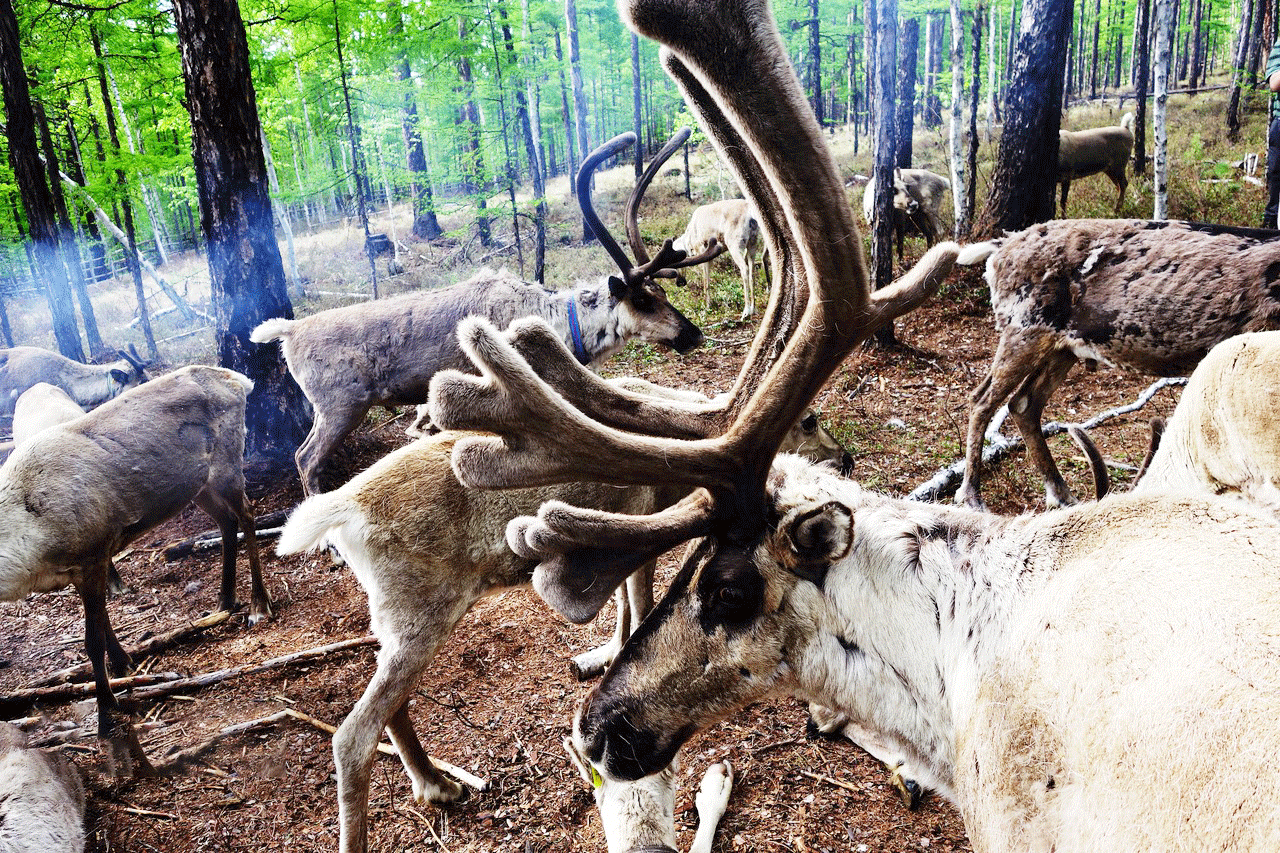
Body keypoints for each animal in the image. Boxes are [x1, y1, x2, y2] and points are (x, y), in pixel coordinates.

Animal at [0, 365, 271, 775]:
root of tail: (237, 380)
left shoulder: (93, 552)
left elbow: (91, 642)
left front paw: (107, 717)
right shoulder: (82, 567)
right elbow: (102, 625)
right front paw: (125, 662)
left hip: (227, 463)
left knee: (248, 515)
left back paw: (258, 604)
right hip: (198, 483)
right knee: (226, 522)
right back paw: (224, 600)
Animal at [250, 130, 711, 497]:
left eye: (663, 291)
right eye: (644, 301)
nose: (694, 334)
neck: (562, 324)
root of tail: (289, 331)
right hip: (341, 405)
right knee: (305, 457)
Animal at [953, 218, 1280, 510]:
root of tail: (998, 250)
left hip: (1062, 348)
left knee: (1023, 403)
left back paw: (1062, 494)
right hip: (1024, 328)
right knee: (982, 399)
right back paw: (971, 496)